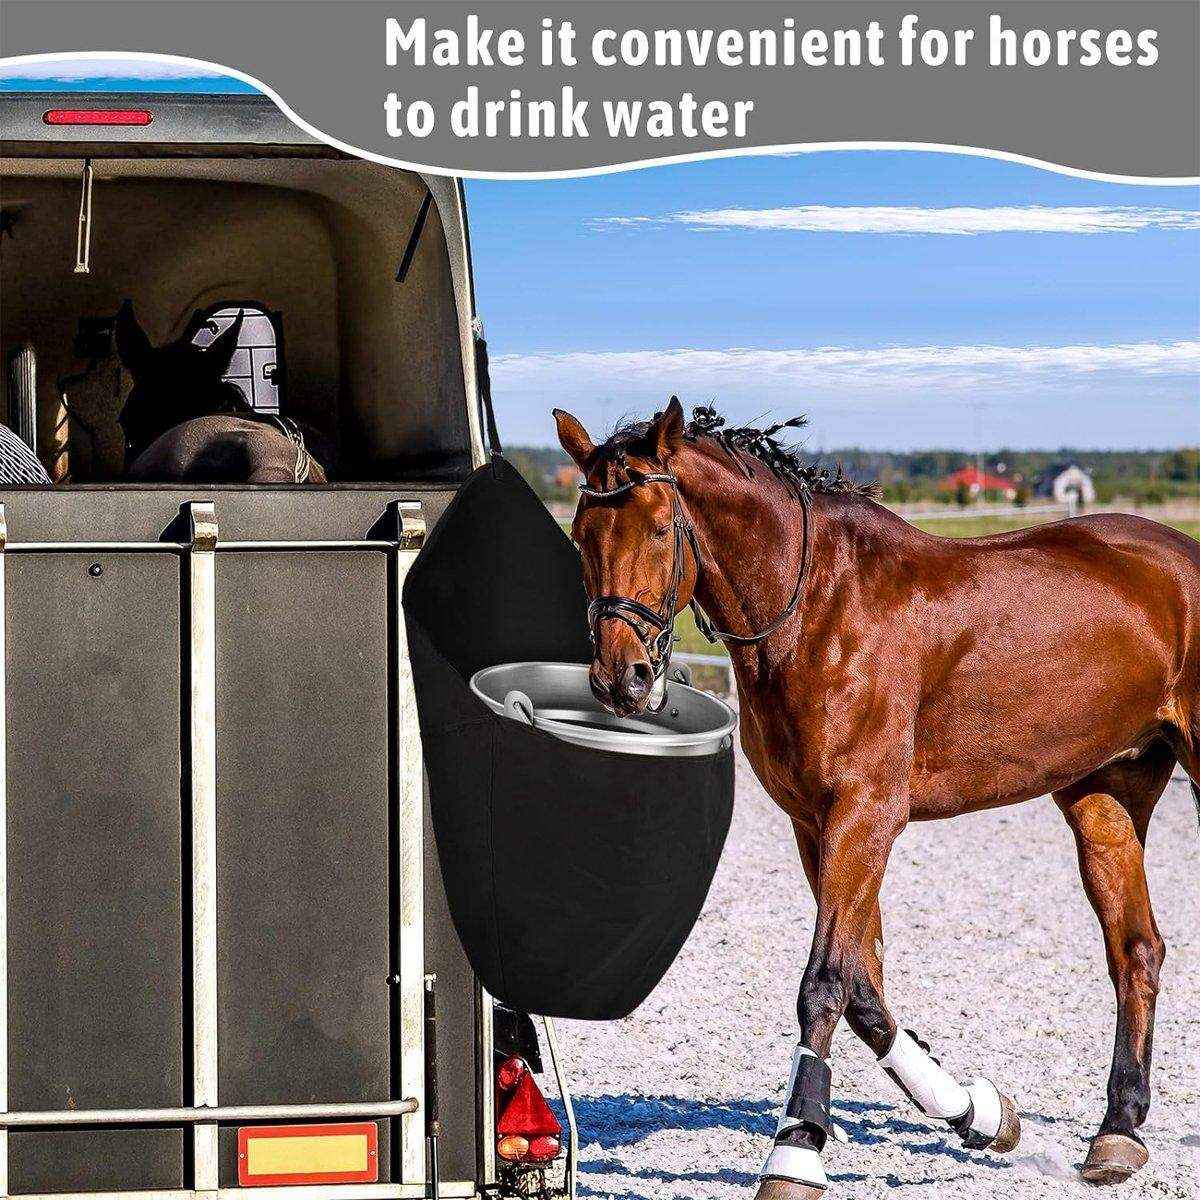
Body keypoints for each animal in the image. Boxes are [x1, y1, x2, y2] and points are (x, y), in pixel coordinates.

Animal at [554, 397, 1200, 1198]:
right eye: (583, 532)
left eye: (657, 525)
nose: (623, 680)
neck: (816, 612)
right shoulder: (815, 825)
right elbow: (865, 989)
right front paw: (981, 1114)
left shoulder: (865, 818)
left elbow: (826, 982)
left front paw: (796, 1151)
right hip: (1106, 794)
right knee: (1135, 950)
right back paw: (1119, 1132)